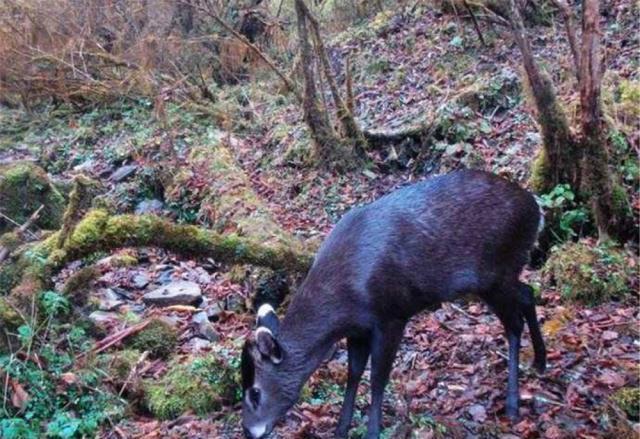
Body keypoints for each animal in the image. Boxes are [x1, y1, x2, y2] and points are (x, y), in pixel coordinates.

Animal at [240, 170, 544, 438]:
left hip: (497, 271)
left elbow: (377, 377)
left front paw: (372, 432)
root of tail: (536, 211)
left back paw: (513, 403)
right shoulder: (358, 328)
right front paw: (340, 429)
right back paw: (540, 362)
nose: (249, 431)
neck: (345, 301)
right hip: (502, 276)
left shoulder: (392, 314)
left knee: (514, 323)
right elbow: (354, 372)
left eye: (255, 391)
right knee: (528, 292)